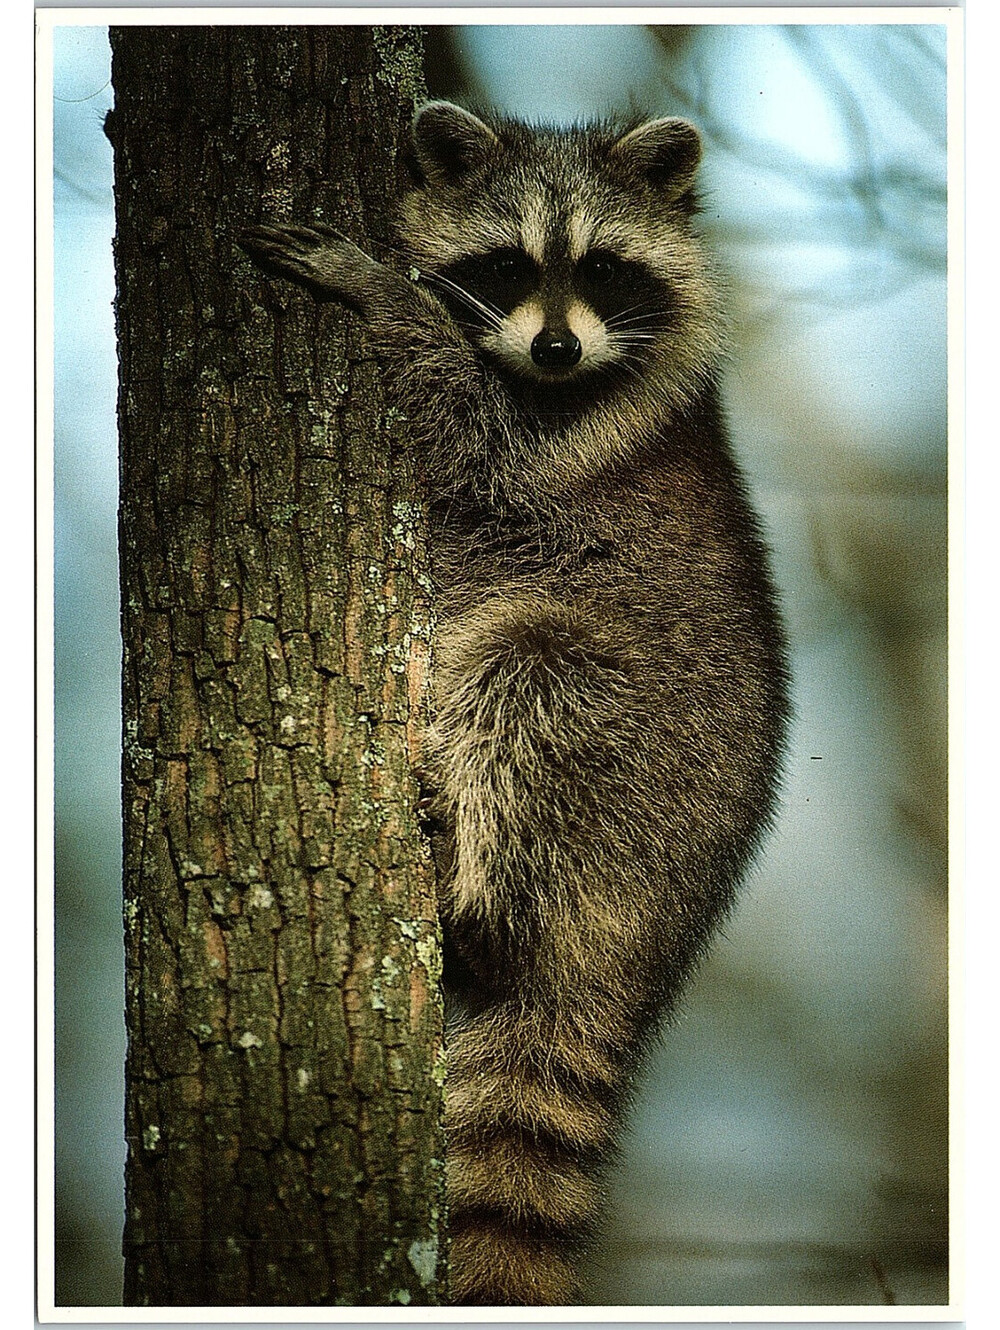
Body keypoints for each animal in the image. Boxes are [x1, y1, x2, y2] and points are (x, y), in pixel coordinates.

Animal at [241, 101, 790, 1306]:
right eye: (506, 264)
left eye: (602, 267)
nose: (553, 347)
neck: (552, 380)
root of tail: (646, 944)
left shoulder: (566, 447)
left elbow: (474, 433)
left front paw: (380, 296)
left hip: (642, 753)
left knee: (534, 677)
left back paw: (469, 866)